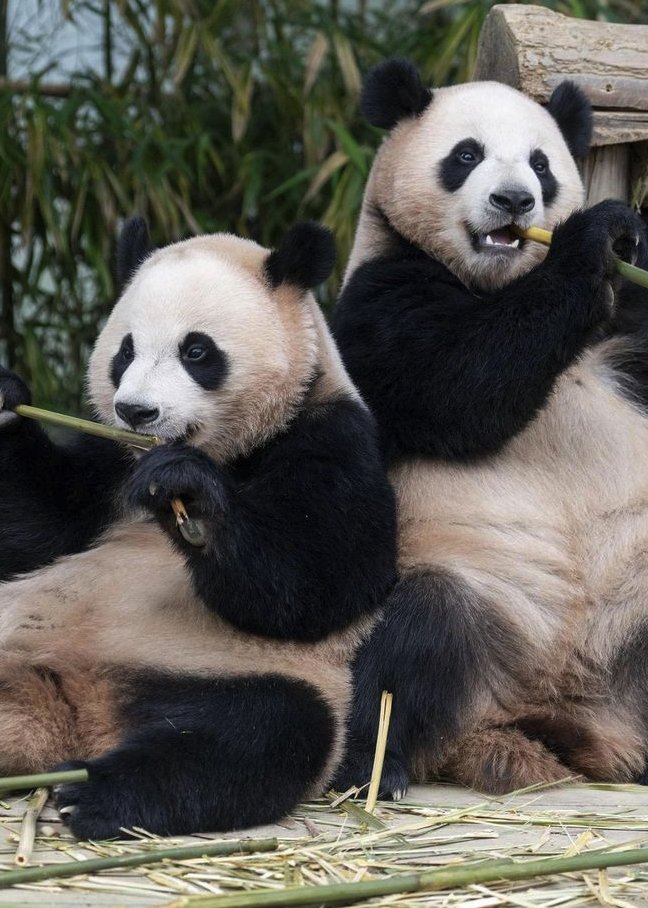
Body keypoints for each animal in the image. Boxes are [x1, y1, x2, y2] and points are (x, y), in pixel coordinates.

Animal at [0, 219, 397, 838]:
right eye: (125, 351)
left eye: (196, 350)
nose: (137, 412)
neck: (232, 452)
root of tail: (71, 711)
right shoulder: (110, 463)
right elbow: (36, 531)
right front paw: (5, 398)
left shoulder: (331, 435)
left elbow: (320, 579)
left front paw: (188, 493)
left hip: (232, 671)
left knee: (252, 734)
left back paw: (93, 794)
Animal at [332, 58, 648, 798]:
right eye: (466, 156)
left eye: (541, 163)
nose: (514, 202)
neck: (494, 281)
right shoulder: (379, 302)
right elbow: (464, 383)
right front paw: (596, 237)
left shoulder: (630, 328)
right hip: (477, 594)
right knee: (412, 635)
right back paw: (373, 769)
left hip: (634, 602)